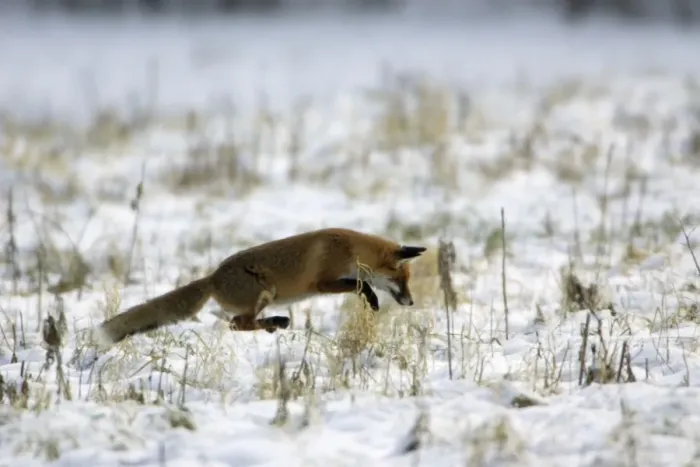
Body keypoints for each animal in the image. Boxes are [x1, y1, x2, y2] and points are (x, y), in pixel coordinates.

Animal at [86, 227, 427, 352]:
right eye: (403, 279)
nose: (411, 302)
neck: (350, 249)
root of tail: (212, 277)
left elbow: (360, 283)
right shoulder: (323, 282)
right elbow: (361, 284)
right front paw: (372, 300)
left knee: (237, 324)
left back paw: (275, 324)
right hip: (265, 293)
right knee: (239, 324)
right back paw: (276, 322)